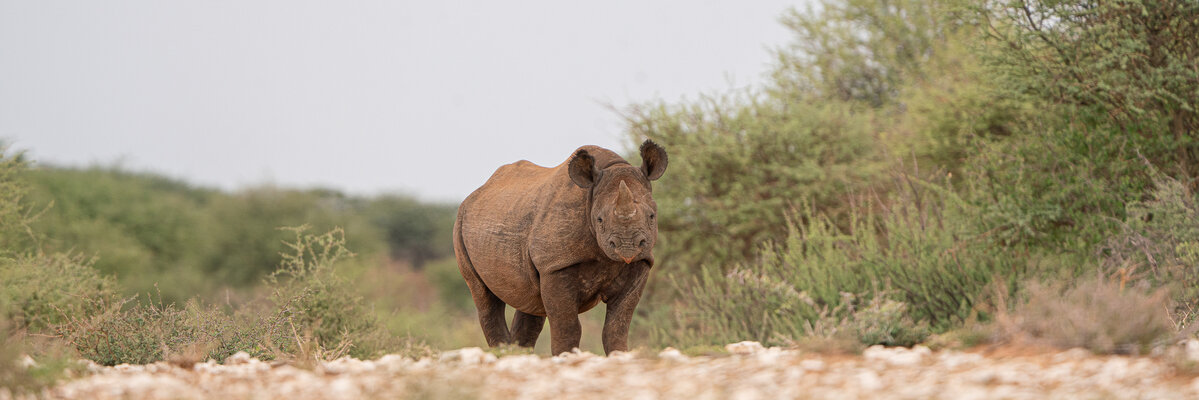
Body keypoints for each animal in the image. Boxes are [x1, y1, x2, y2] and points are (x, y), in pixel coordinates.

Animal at [453, 140, 668, 355]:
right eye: (599, 219)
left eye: (652, 216)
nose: (627, 246)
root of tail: (476, 193)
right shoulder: (555, 266)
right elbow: (567, 326)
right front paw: (565, 356)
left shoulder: (641, 262)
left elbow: (617, 326)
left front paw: (618, 354)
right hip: (461, 225)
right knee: (484, 297)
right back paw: (504, 353)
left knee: (531, 303)